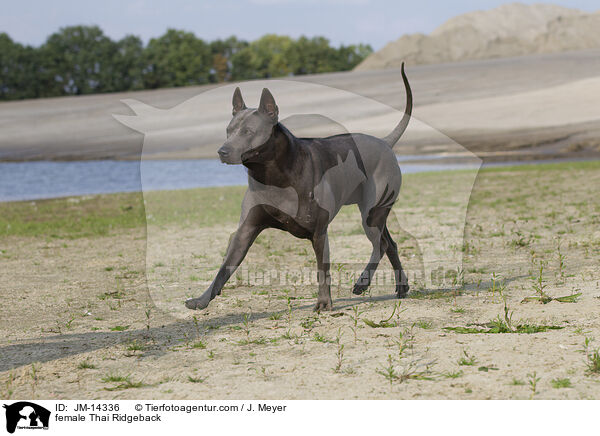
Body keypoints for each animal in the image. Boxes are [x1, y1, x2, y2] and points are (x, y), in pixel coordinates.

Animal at [186, 63, 412, 312]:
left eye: (247, 132)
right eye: (228, 130)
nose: (222, 151)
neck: (272, 176)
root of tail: (384, 142)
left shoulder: (319, 232)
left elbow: (322, 269)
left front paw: (323, 303)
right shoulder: (245, 231)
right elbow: (224, 267)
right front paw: (202, 299)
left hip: (371, 214)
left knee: (380, 245)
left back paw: (362, 282)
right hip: (376, 215)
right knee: (390, 244)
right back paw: (401, 287)